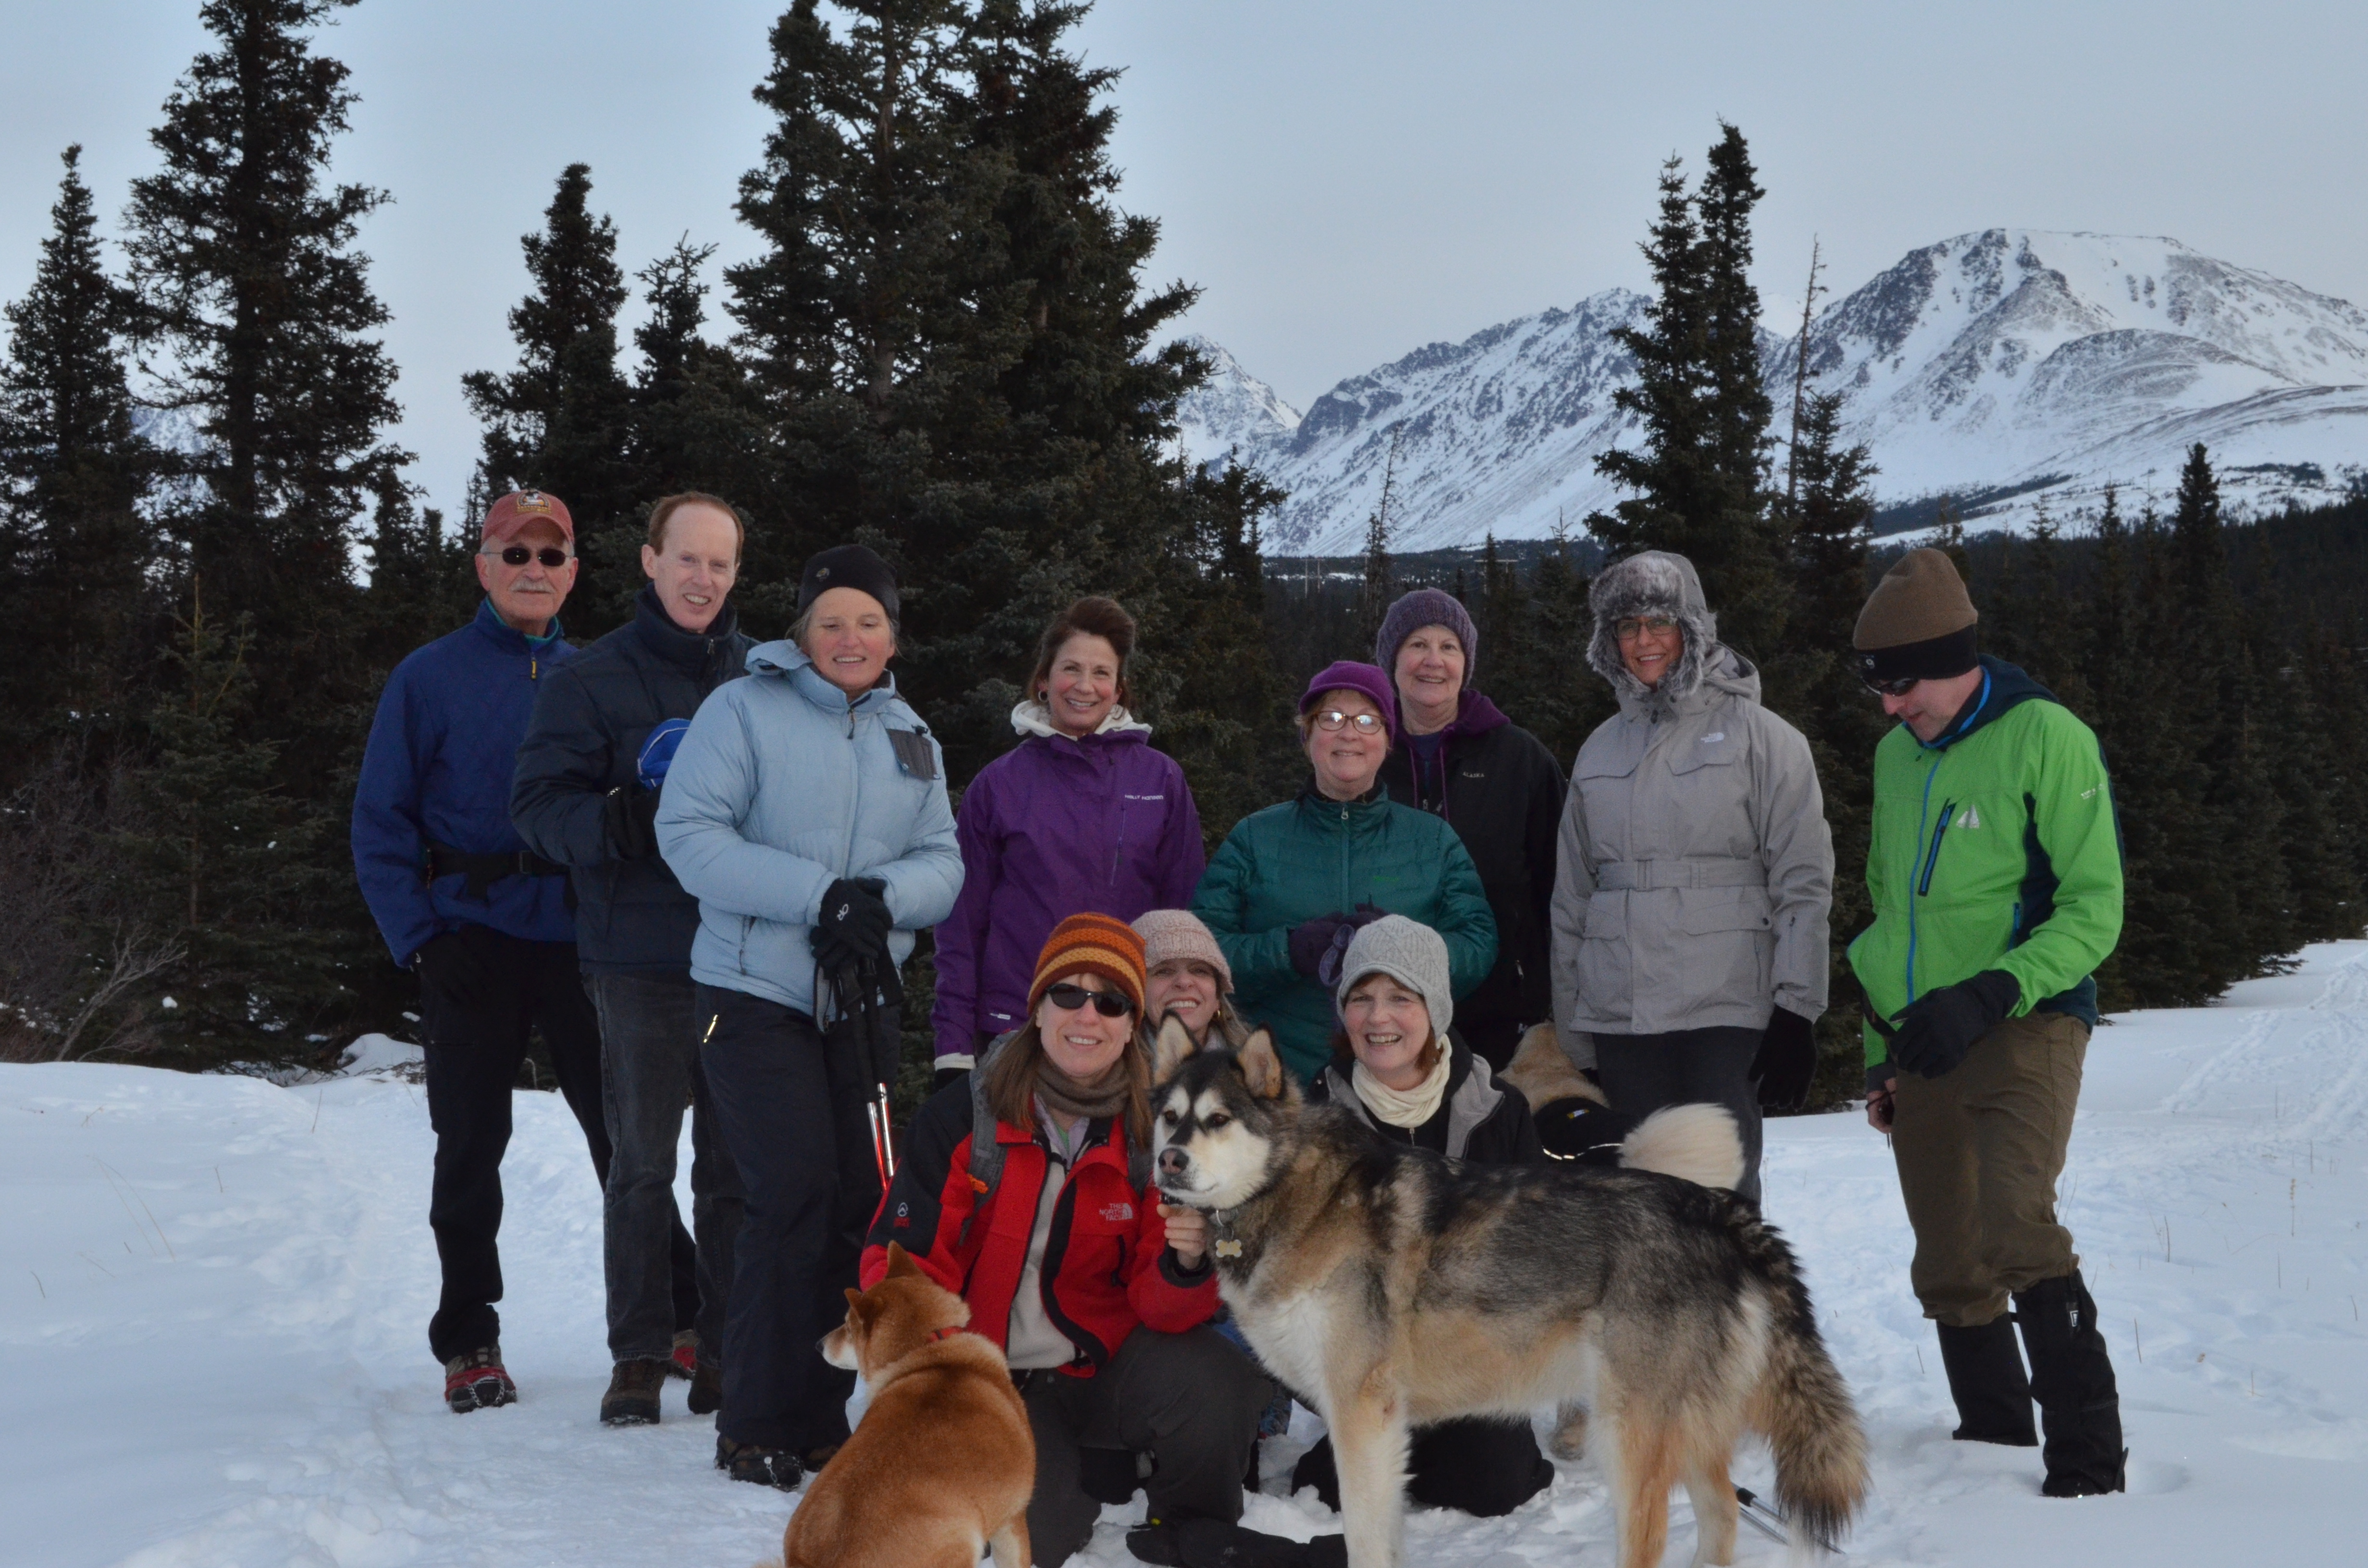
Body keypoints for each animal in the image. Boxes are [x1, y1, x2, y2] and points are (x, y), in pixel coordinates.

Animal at [1147, 1018, 1867, 1568]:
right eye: (1170, 1118)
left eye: (1217, 1120)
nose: (1168, 1162)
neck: (1292, 1191)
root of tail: (1717, 1209)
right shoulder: (1380, 1426)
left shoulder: (1362, 1413)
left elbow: (1365, 1541)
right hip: (1681, 1429)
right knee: (1721, 1517)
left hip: (1629, 1436)